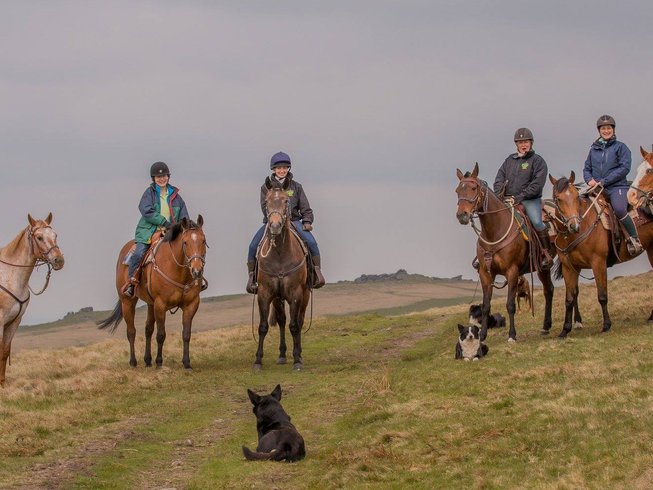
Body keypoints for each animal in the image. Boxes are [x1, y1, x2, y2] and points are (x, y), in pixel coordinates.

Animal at [0, 214, 64, 386]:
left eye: (55, 235)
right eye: (39, 237)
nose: (59, 260)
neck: (10, 275)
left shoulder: (14, 322)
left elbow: (4, 352)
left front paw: (2, 384)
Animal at [98, 216, 207, 370]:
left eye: (203, 241)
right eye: (185, 242)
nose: (197, 271)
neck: (178, 271)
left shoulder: (191, 304)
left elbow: (186, 334)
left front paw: (187, 363)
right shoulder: (160, 304)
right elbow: (161, 334)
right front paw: (159, 362)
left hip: (150, 304)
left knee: (148, 329)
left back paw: (148, 360)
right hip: (127, 302)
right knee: (131, 332)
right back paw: (133, 362)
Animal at [253, 178, 310, 370]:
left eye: (286, 201)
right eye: (266, 201)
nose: (275, 226)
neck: (279, 254)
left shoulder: (295, 293)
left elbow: (294, 325)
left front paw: (297, 359)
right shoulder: (265, 293)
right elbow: (263, 326)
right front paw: (258, 360)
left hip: (305, 295)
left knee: (299, 321)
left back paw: (298, 353)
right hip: (278, 298)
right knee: (281, 320)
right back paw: (282, 355)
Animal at [456, 163, 555, 342]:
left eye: (474, 188)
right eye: (457, 190)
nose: (462, 215)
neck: (495, 231)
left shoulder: (512, 272)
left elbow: (510, 305)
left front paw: (512, 335)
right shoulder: (485, 273)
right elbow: (486, 305)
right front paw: (482, 335)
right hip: (541, 268)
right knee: (548, 290)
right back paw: (545, 326)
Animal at [549, 171, 653, 336]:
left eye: (576, 196)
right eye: (558, 198)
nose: (574, 225)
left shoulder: (598, 263)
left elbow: (602, 295)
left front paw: (606, 325)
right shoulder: (569, 268)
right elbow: (570, 298)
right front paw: (565, 330)